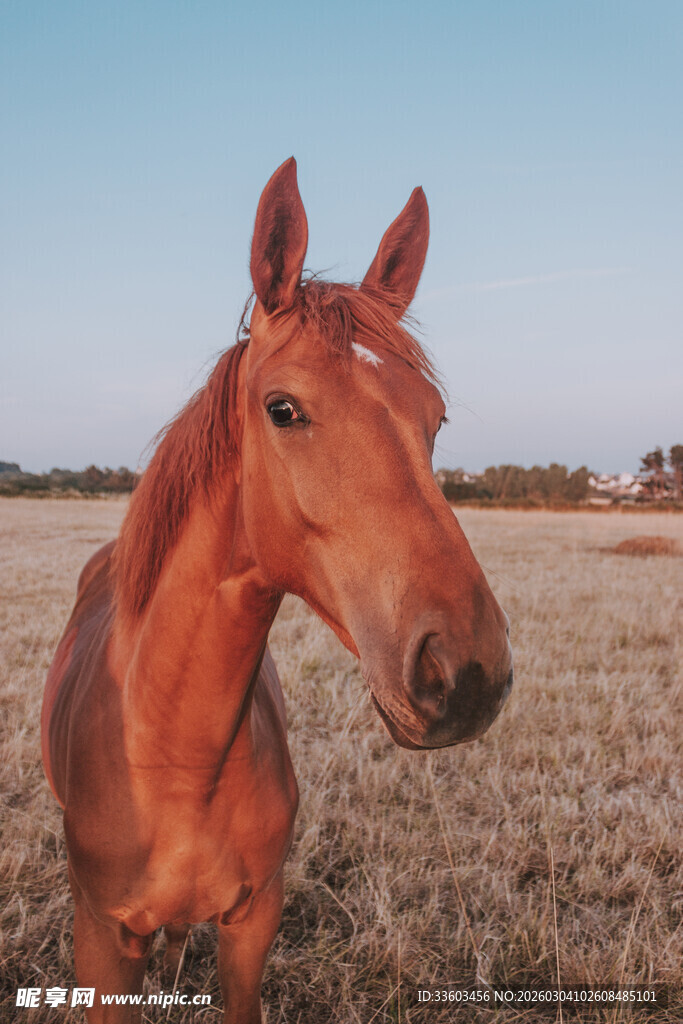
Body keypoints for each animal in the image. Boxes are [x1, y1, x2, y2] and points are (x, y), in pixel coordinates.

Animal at [41, 158, 513, 1023]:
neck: (172, 760)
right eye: (282, 409)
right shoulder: (101, 940)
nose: (466, 674)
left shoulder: (254, 921)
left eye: (435, 419)